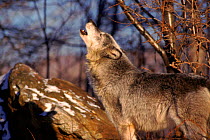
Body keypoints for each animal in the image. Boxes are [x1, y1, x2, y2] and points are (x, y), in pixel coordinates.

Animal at [79, 20, 209, 139]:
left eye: (101, 34)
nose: (92, 21)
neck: (113, 77)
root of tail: (203, 80)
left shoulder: (123, 125)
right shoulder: (130, 127)